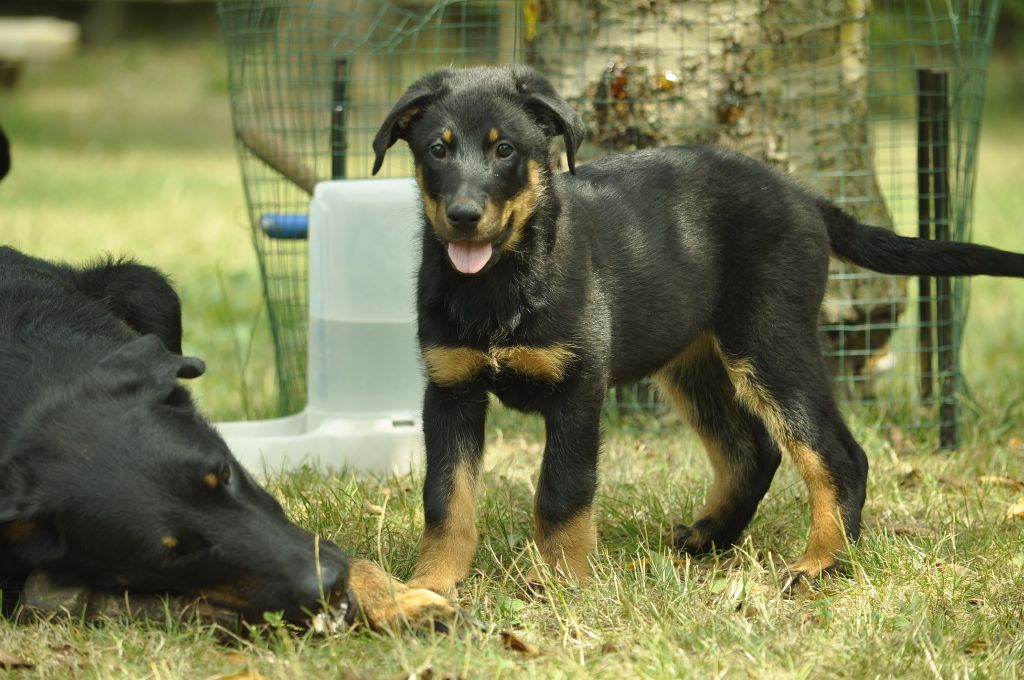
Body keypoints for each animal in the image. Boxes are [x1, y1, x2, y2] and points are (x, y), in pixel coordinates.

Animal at [372, 65, 1024, 593]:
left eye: (504, 149)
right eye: (437, 150)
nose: (462, 217)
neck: (499, 283)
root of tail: (804, 196)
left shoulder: (579, 387)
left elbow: (562, 491)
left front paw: (558, 583)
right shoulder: (450, 390)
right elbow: (446, 498)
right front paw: (431, 585)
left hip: (769, 341)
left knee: (838, 454)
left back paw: (821, 564)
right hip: (695, 362)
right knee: (752, 453)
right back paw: (711, 539)